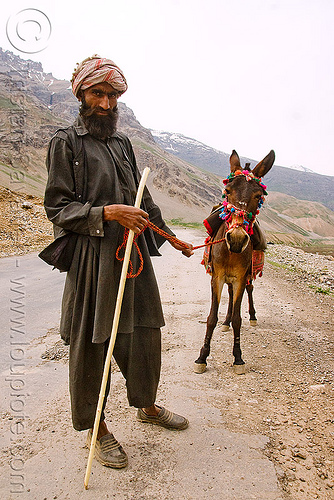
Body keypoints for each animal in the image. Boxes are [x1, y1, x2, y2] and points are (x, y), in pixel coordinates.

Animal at [194, 150, 276, 374]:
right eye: (227, 191)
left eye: (258, 196)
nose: (237, 239)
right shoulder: (217, 277)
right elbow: (211, 318)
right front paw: (202, 357)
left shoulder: (240, 277)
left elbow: (239, 319)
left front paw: (238, 358)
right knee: (230, 297)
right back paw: (226, 320)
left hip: (248, 275)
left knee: (249, 290)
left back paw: (252, 317)